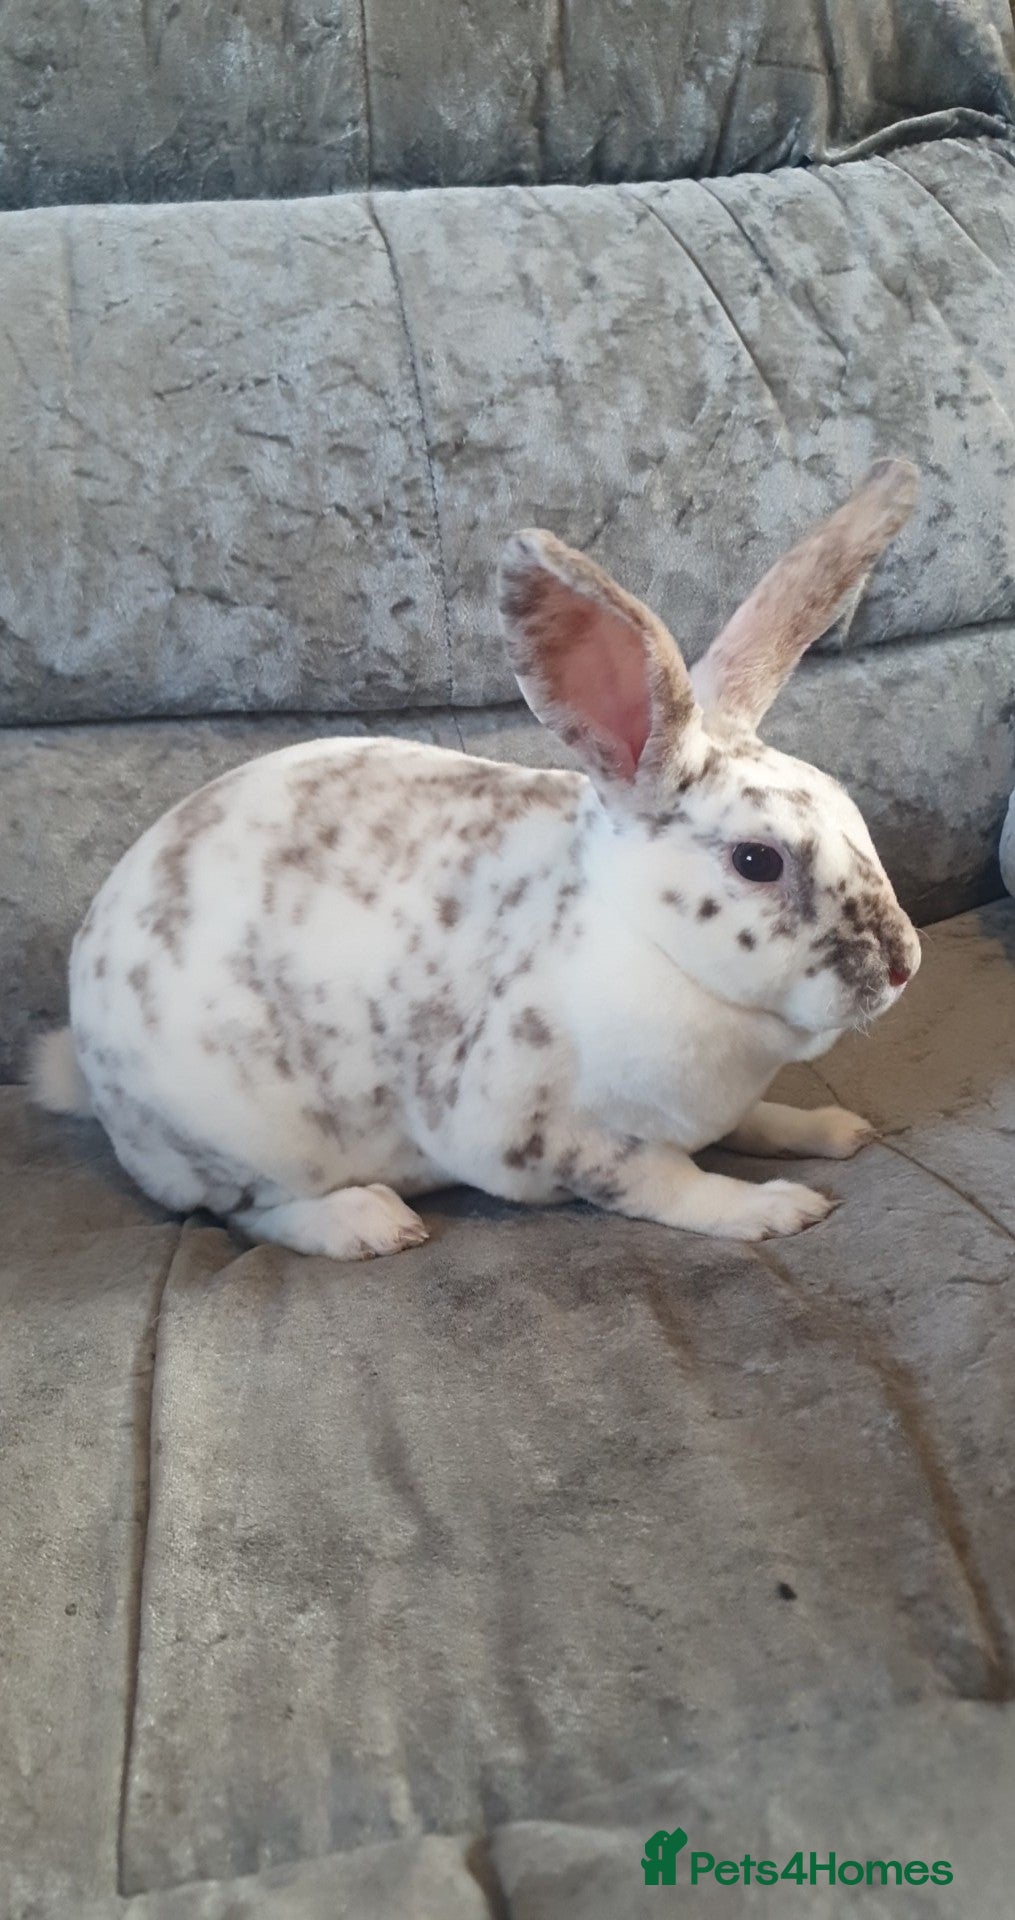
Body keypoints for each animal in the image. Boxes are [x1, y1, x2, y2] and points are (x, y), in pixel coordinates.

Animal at [32, 459, 922, 1260]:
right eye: (755, 860)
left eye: (845, 803)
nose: (904, 964)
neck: (646, 942)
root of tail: (89, 1074)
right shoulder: (548, 1139)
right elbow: (668, 1186)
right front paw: (770, 1208)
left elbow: (756, 1121)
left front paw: (830, 1127)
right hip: (247, 1142)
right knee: (247, 1211)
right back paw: (367, 1224)